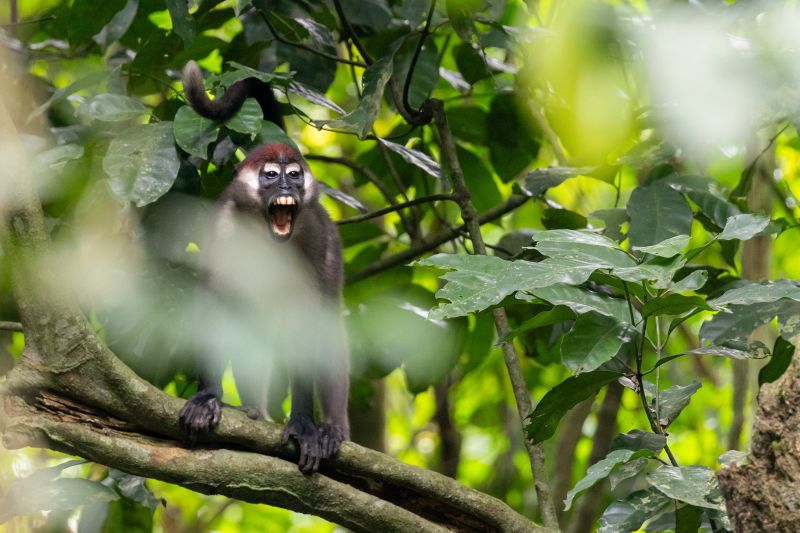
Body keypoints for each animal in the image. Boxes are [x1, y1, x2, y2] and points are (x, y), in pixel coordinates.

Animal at [177, 61, 349, 474]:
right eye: (271, 175)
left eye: (295, 174)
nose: (288, 187)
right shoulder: (223, 225)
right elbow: (213, 301)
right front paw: (207, 397)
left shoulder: (316, 232)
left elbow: (309, 320)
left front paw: (304, 424)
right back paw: (254, 409)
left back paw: (332, 428)